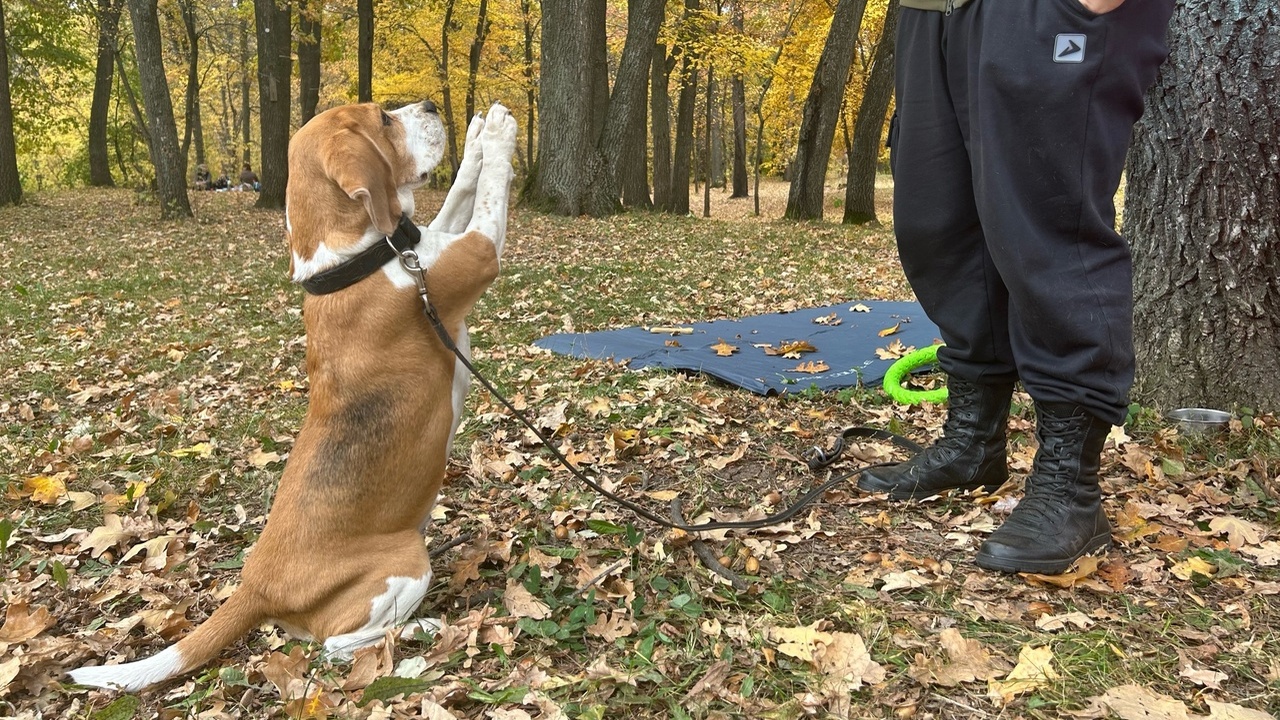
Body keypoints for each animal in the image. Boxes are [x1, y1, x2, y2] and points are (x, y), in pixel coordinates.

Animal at [68, 101, 519, 691]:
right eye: (383, 120)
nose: (428, 106)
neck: (350, 262)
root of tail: (255, 586)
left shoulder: (425, 244)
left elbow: (461, 191)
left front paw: (476, 138)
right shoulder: (476, 254)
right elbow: (488, 197)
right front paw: (499, 135)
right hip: (405, 557)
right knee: (334, 647)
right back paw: (418, 637)